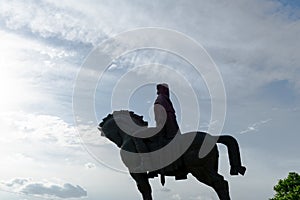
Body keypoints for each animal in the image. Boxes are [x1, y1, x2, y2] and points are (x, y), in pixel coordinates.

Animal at [99, 110, 246, 199]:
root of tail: (212, 137)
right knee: (221, 183)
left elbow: (144, 189)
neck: (128, 135)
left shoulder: (135, 171)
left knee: (219, 182)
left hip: (200, 169)